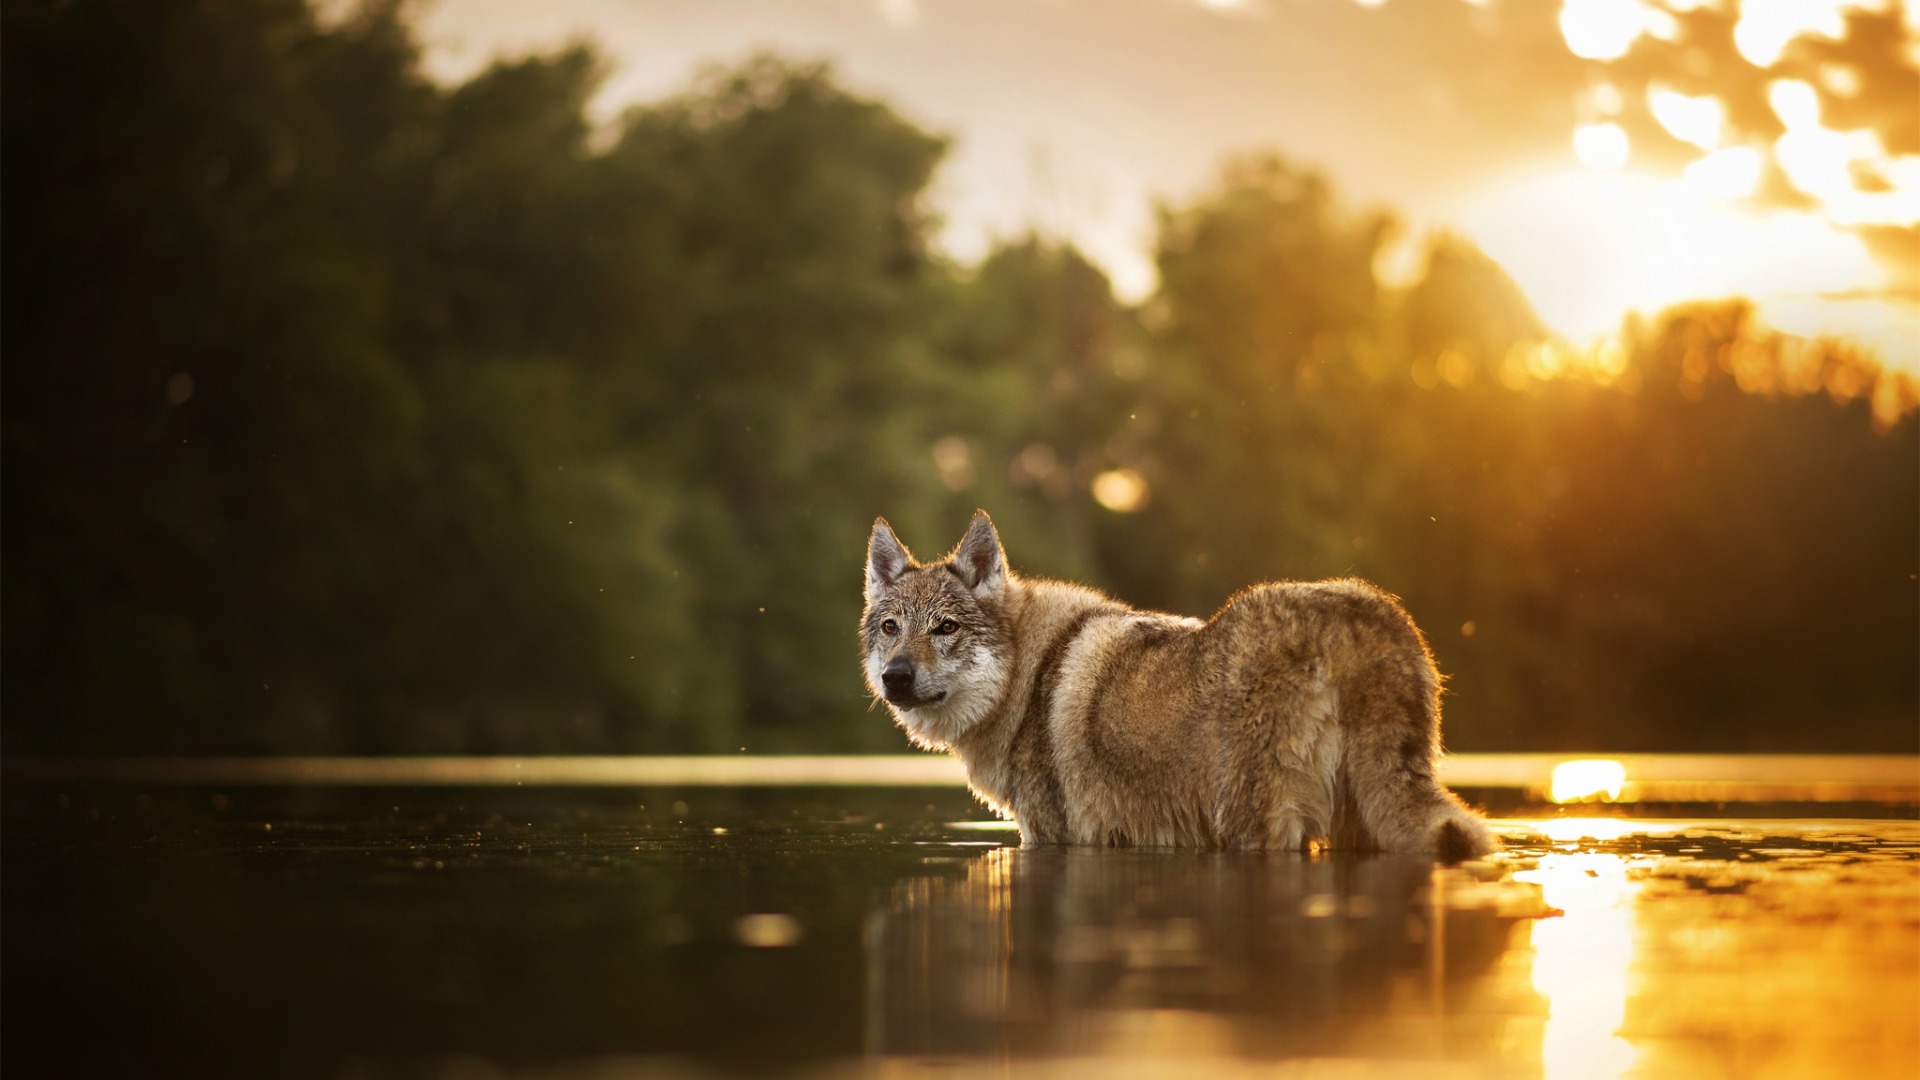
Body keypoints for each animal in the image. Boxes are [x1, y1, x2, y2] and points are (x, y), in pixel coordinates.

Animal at [860, 511, 1497, 857]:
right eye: (891, 628)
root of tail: (1357, 618)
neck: (1029, 673)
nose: (895, 677)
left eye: (944, 627)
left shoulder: (1052, 835)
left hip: (1253, 825)